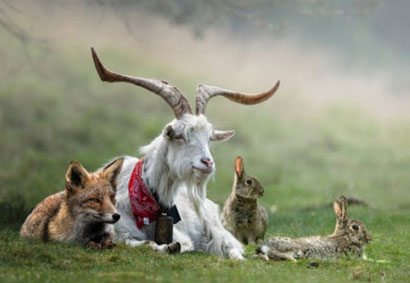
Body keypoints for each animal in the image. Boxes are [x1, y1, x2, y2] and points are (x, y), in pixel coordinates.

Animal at [91, 47, 280, 260]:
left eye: (209, 138)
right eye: (179, 135)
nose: (207, 163)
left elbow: (182, 243)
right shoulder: (118, 231)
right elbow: (141, 243)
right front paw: (165, 247)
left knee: (231, 245)